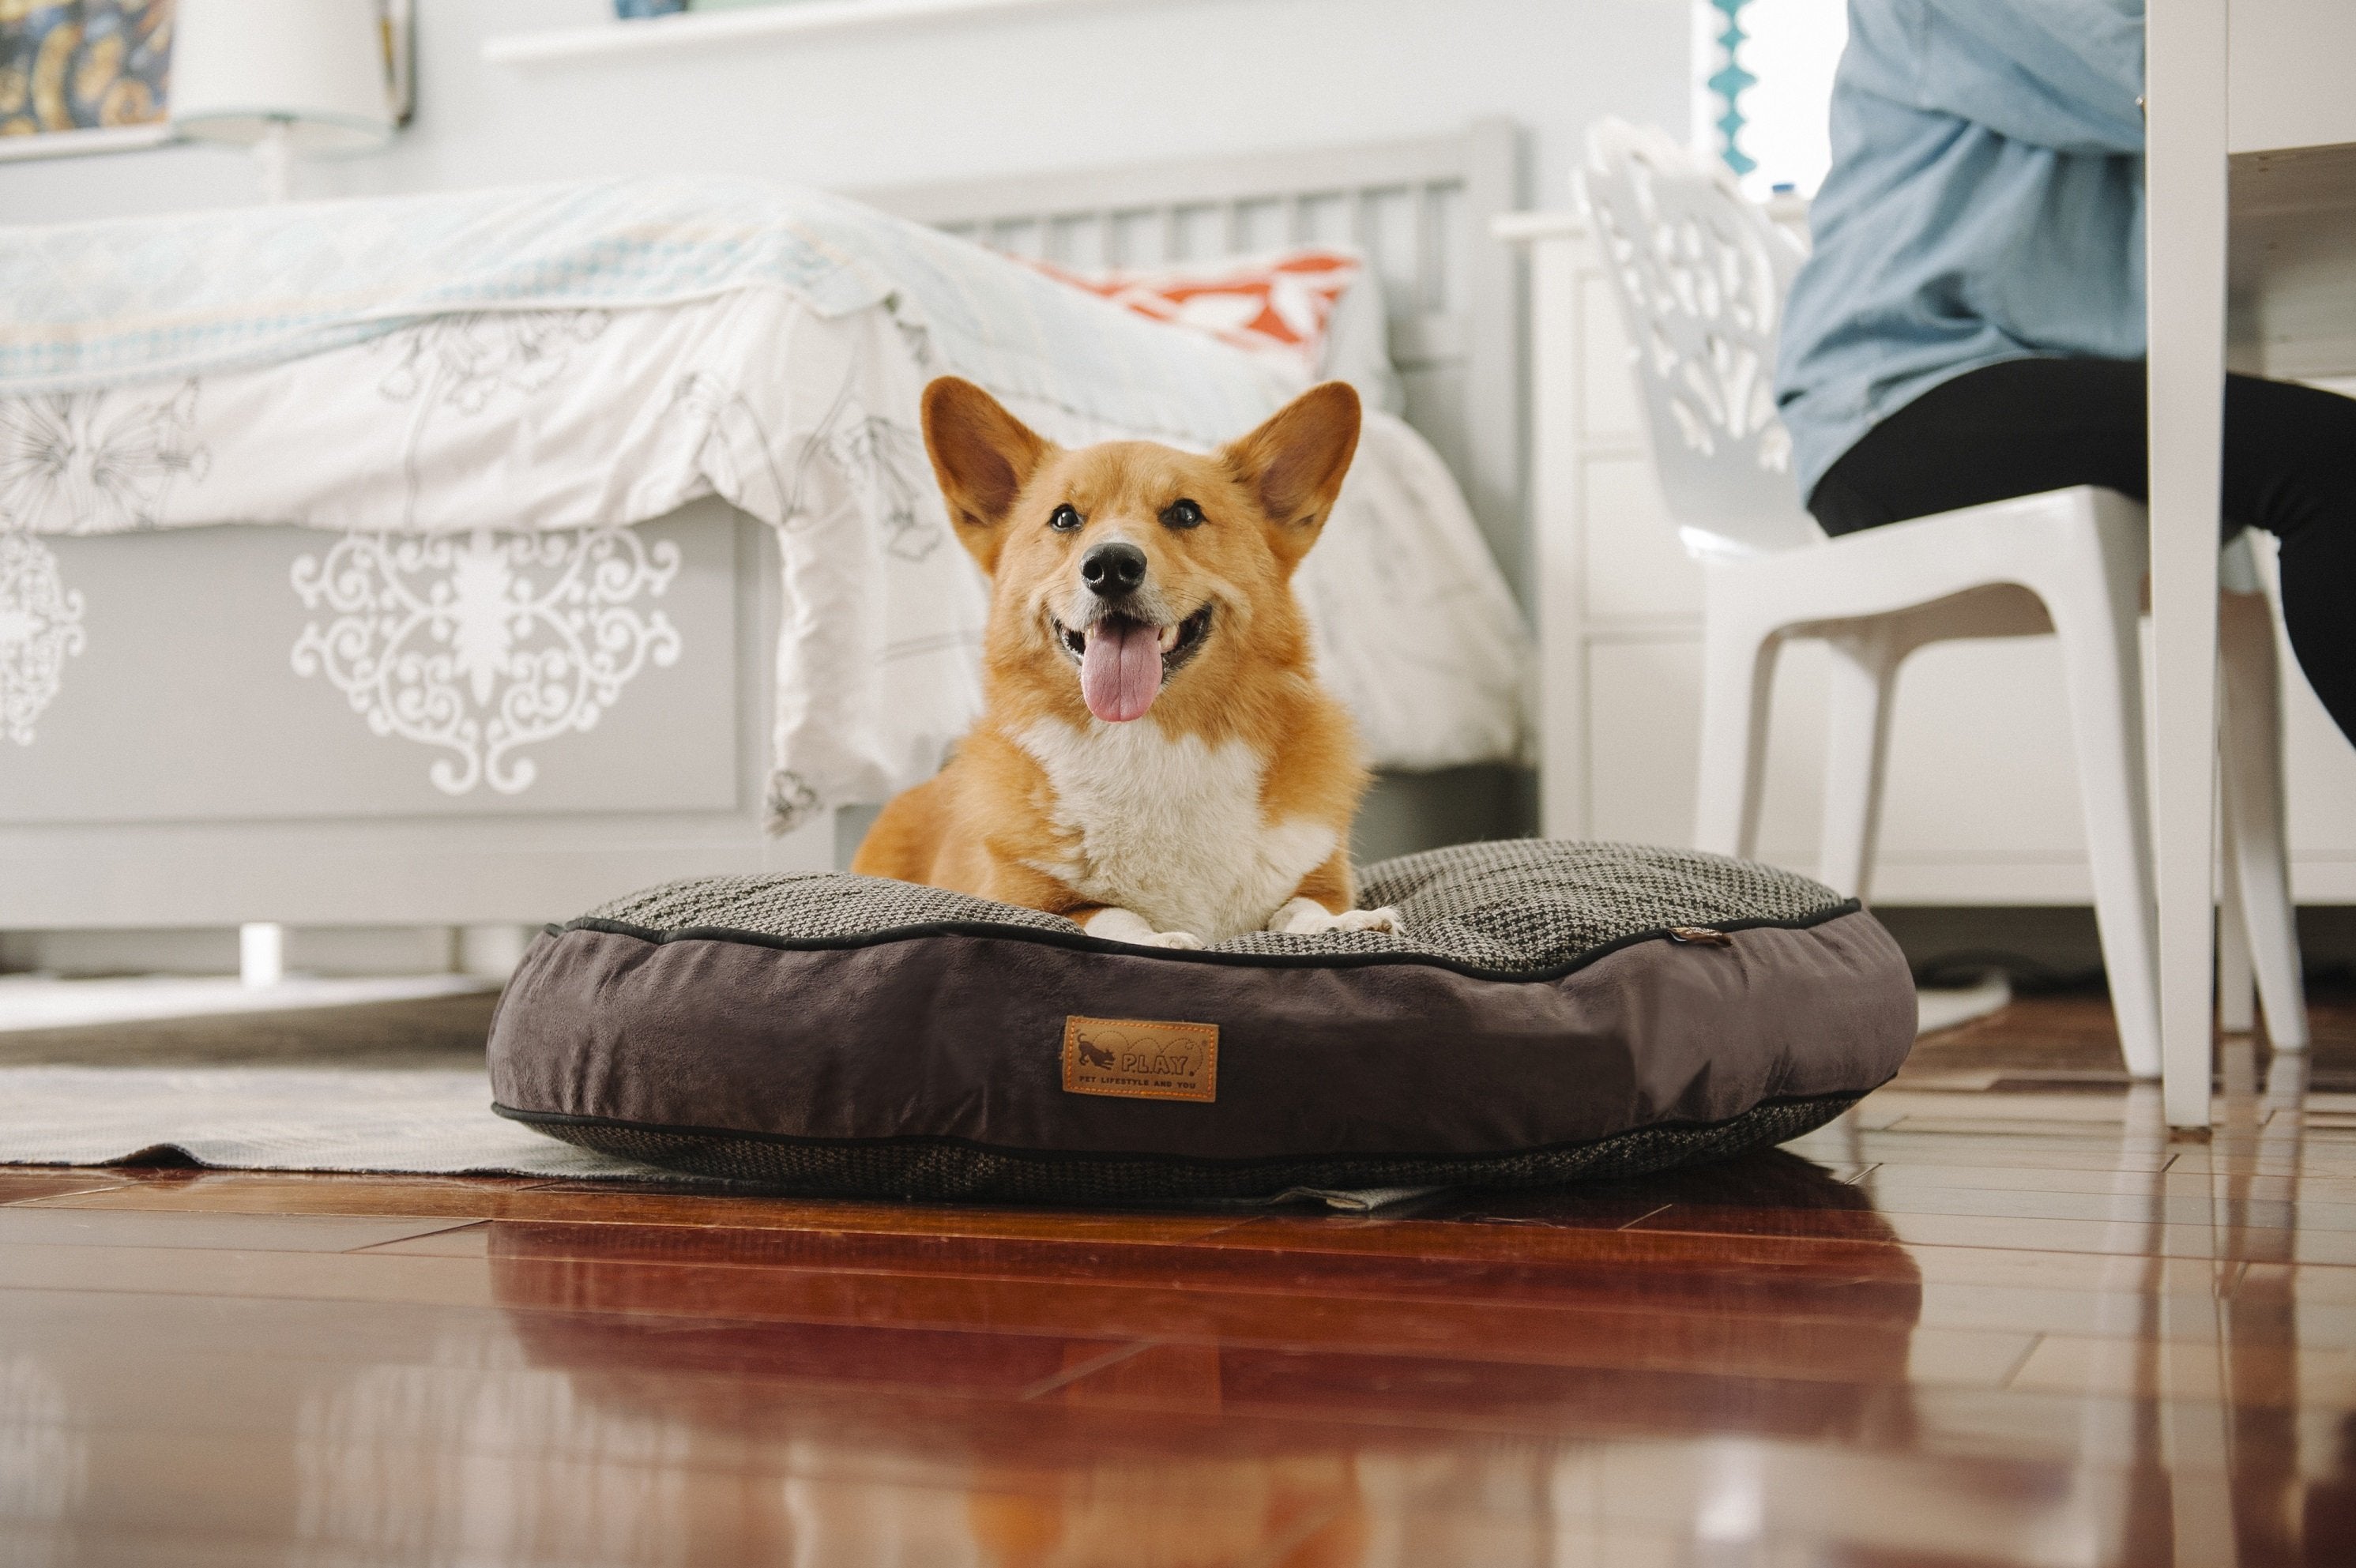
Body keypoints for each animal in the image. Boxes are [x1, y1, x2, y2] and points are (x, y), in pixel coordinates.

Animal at [851, 376, 1403, 949]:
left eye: (1185, 513)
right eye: (1065, 517)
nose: (1111, 565)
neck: (1153, 742)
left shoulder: (1320, 874)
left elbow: (1303, 906)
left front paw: (1344, 922)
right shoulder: (1027, 899)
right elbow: (1110, 914)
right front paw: (1165, 939)